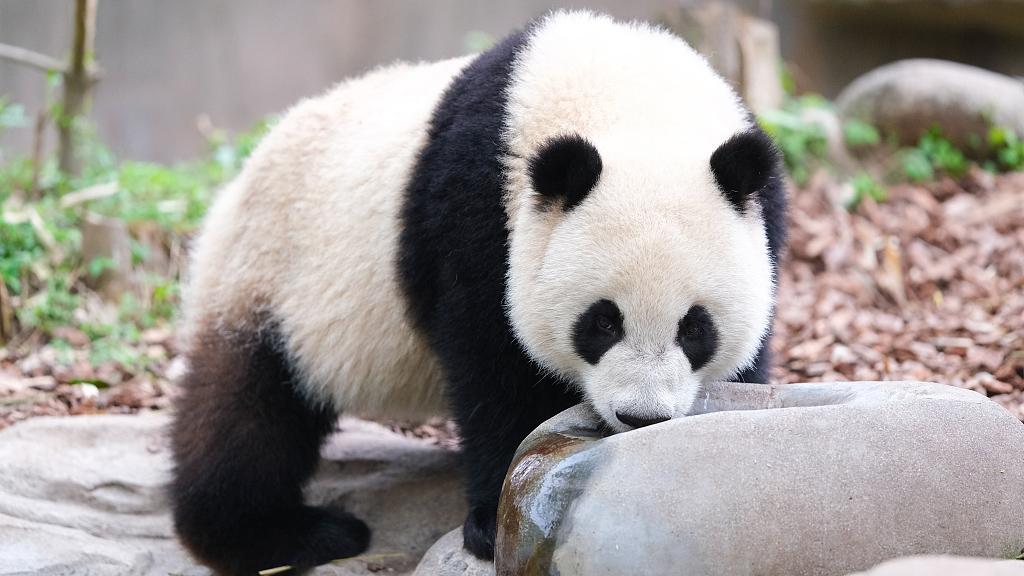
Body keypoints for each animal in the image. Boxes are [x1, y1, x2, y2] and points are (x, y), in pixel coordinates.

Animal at [172, 10, 786, 573]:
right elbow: (492, 366)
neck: (632, 103)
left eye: (694, 328)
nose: (640, 417)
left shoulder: (765, 216)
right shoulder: (478, 208)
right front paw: (494, 521)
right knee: (248, 411)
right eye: (602, 322)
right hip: (273, 273)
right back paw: (278, 534)